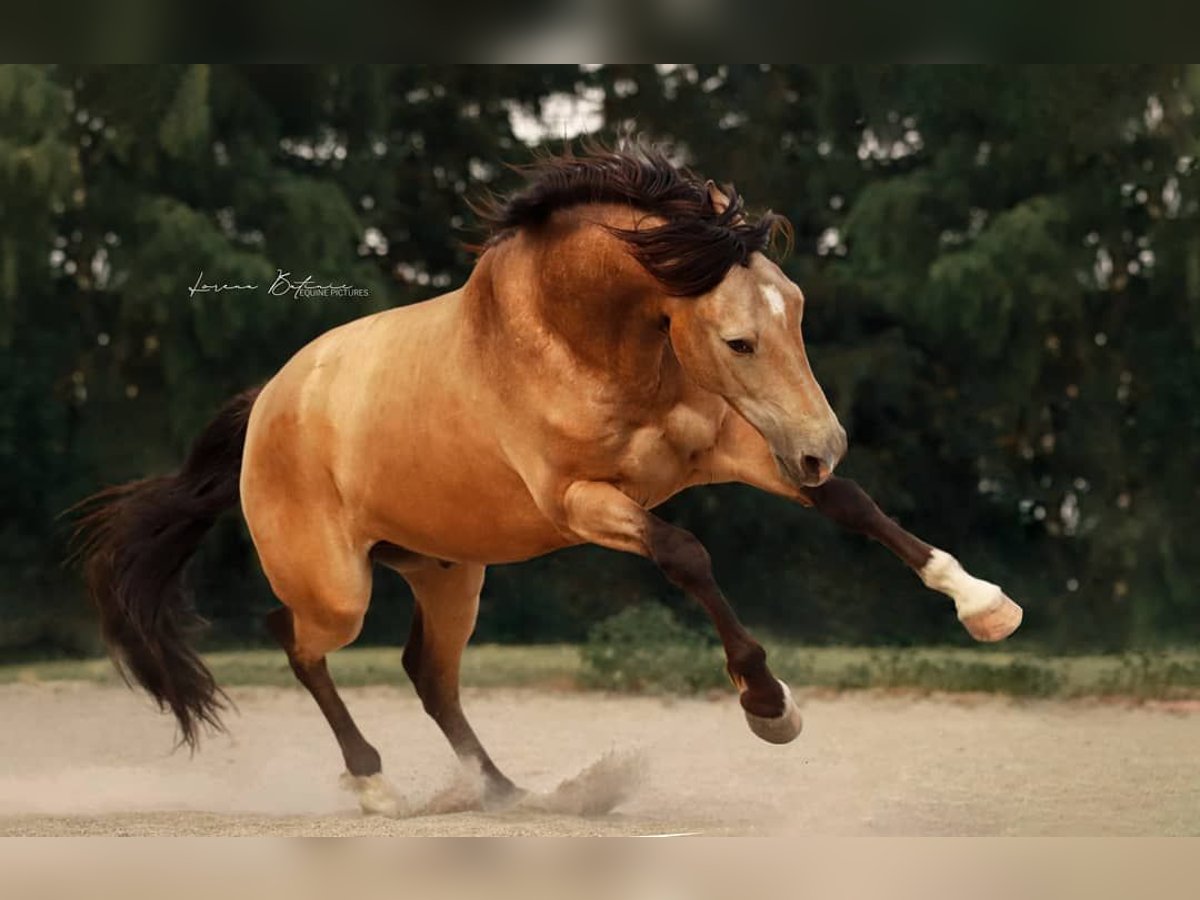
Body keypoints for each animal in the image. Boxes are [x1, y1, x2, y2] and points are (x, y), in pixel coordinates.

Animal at [75, 144, 1017, 816]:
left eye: (798, 309)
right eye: (739, 339)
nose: (825, 443)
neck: (581, 341)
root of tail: (268, 403)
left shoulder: (732, 450)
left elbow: (851, 506)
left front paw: (984, 605)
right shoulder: (585, 504)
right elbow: (688, 554)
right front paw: (768, 704)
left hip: (447, 573)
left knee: (428, 674)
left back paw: (505, 793)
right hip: (338, 589)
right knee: (295, 640)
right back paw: (376, 786)